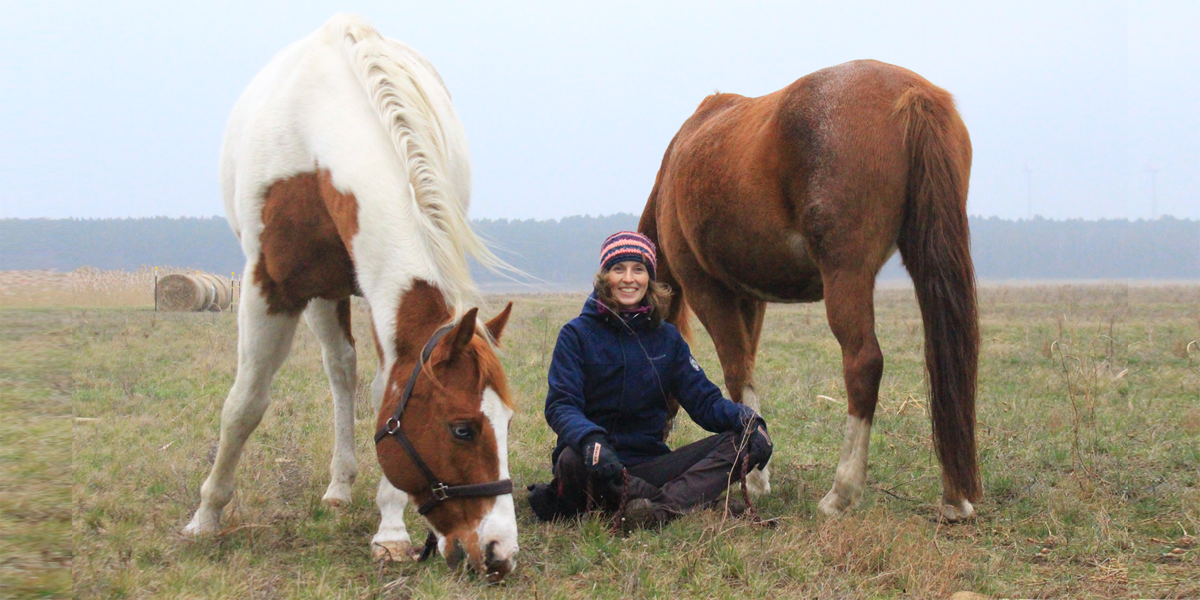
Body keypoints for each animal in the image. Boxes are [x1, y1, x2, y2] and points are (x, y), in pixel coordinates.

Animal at [180, 14, 518, 576]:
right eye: (463, 429)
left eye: (508, 422)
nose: (499, 552)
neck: (318, 137)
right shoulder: (270, 288)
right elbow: (245, 404)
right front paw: (206, 515)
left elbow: (386, 391)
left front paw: (391, 529)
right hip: (322, 294)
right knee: (340, 371)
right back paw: (337, 487)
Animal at [643, 59, 979, 520]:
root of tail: (911, 93)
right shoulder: (750, 298)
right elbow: (747, 370)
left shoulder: (707, 290)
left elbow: (736, 373)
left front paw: (751, 477)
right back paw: (954, 498)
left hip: (845, 274)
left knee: (863, 363)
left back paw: (841, 493)